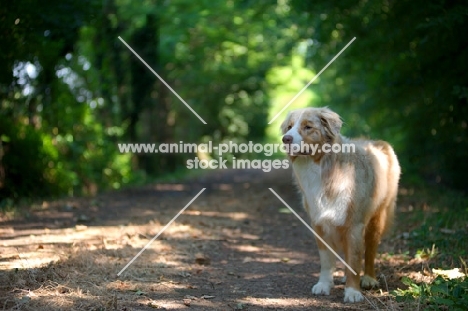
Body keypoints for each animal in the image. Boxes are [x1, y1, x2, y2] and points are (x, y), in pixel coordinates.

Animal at [280, 106, 400, 302]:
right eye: (289, 127)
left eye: (308, 127)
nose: (286, 139)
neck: (321, 167)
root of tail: (377, 142)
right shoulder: (319, 223)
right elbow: (326, 260)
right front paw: (324, 284)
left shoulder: (355, 225)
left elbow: (355, 259)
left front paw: (352, 292)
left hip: (377, 218)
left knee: (370, 250)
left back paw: (368, 278)